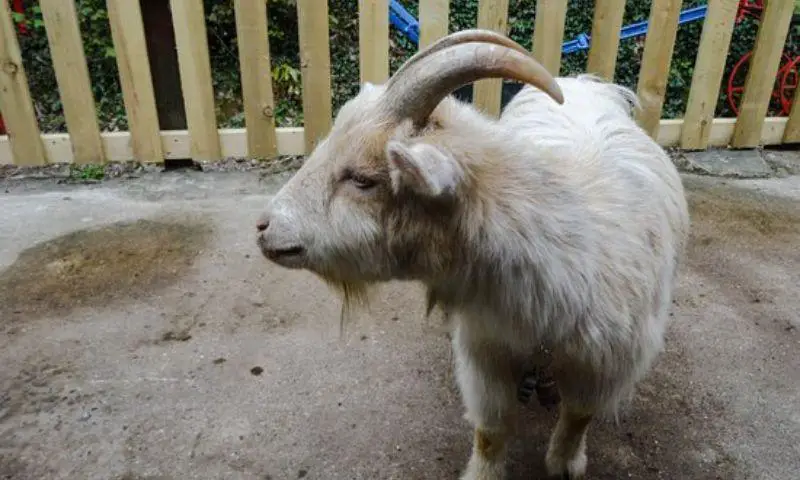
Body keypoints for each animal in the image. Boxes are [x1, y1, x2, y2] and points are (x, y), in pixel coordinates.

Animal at [255, 29, 690, 480]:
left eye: (362, 179)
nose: (265, 227)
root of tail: (585, 84)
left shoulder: (607, 364)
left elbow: (578, 416)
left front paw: (565, 463)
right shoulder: (486, 352)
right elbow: (491, 429)